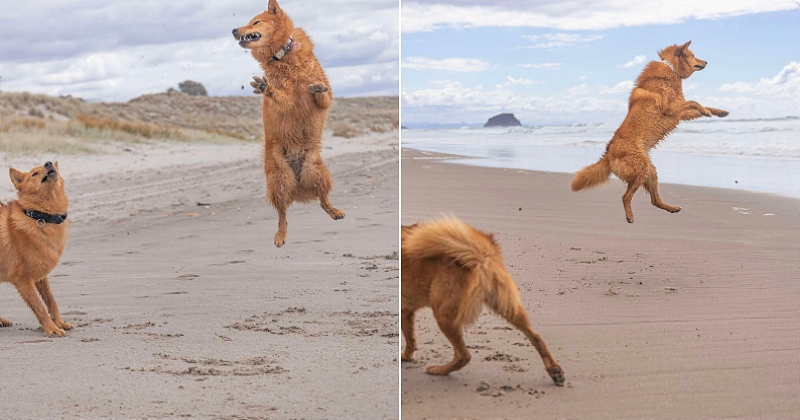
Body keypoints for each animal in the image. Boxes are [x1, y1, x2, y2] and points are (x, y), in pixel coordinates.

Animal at [0, 162, 72, 336]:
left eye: (52, 165)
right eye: (34, 174)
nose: (49, 163)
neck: (41, 216)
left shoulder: (40, 276)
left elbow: (51, 301)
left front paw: (59, 323)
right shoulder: (23, 280)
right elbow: (39, 307)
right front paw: (52, 329)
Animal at [231, 0, 344, 246]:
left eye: (255, 22)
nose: (234, 30)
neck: (283, 56)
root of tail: (299, 185)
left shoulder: (323, 101)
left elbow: (322, 93)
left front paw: (317, 87)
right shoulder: (288, 103)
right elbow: (280, 96)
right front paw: (265, 87)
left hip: (317, 172)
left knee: (323, 200)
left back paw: (334, 211)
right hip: (280, 181)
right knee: (282, 215)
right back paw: (280, 236)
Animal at [400, 217, 564, 388]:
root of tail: (482, 255)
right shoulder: (406, 311)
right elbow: (409, 337)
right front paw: (407, 355)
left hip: (444, 314)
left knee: (464, 355)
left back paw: (439, 370)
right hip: (507, 306)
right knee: (536, 336)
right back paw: (554, 371)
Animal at [572, 41, 728, 223]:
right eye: (693, 56)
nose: (706, 62)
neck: (671, 69)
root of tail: (608, 154)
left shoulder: (680, 113)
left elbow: (699, 105)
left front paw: (719, 112)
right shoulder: (672, 108)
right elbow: (694, 101)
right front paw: (705, 110)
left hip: (651, 172)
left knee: (654, 200)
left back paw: (671, 208)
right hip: (642, 170)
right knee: (626, 196)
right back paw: (630, 217)